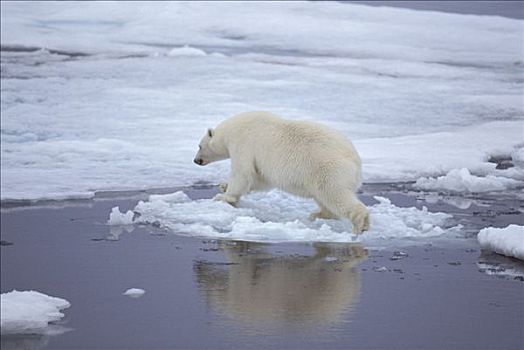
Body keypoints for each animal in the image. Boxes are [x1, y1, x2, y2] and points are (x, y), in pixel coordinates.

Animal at [194, 110, 370, 234]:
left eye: (199, 146)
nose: (196, 161)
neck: (232, 129)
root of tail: (356, 163)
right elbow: (260, 179)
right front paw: (223, 185)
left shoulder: (243, 144)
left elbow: (243, 174)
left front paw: (222, 196)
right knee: (323, 197)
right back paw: (318, 215)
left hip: (328, 169)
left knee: (335, 194)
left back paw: (360, 224)